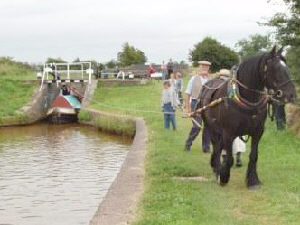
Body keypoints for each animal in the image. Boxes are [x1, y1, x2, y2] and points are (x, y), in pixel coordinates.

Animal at [199, 46, 296, 189]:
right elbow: (229, 158)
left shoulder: (258, 132)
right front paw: (223, 176)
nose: (291, 95)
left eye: (286, 66)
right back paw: (217, 169)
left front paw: (253, 180)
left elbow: (254, 156)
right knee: (216, 147)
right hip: (211, 127)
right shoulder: (228, 133)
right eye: (275, 68)